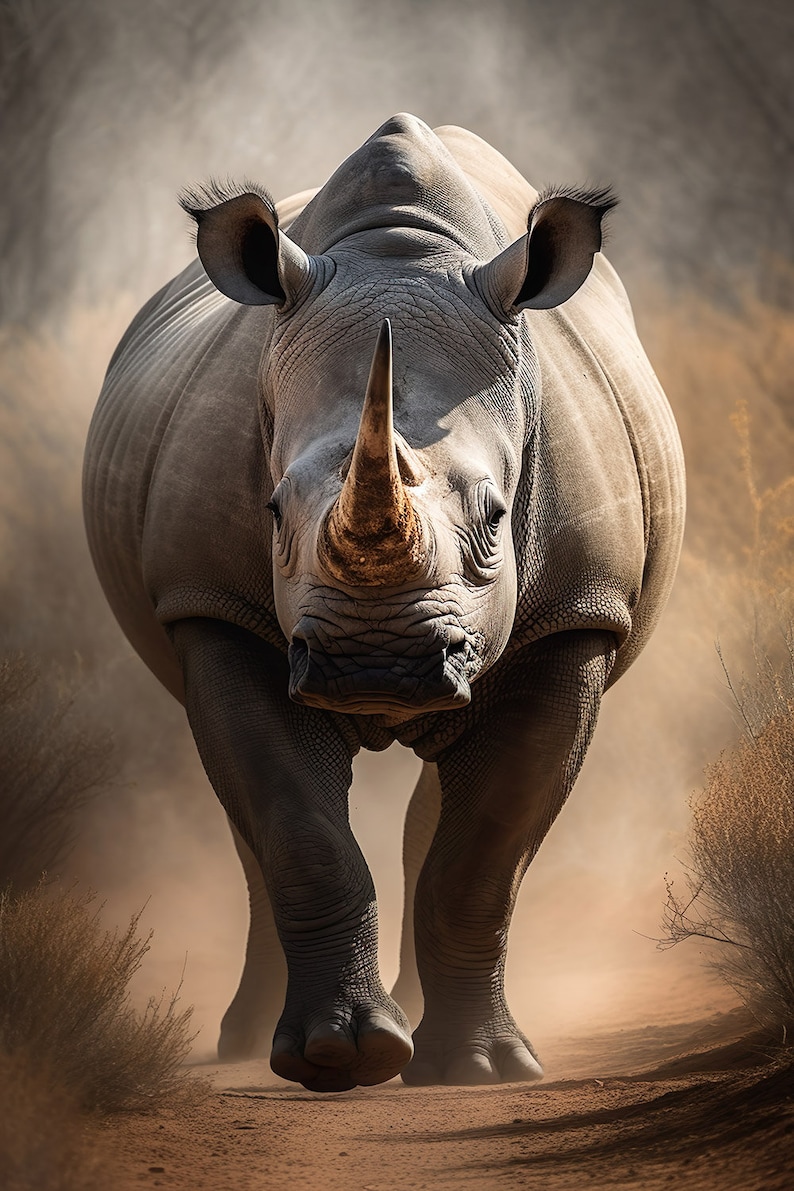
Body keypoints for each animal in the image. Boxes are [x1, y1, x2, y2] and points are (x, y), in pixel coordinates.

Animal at [83, 114, 684, 1092]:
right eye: (273, 511)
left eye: (497, 517)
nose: (376, 664)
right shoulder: (213, 606)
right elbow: (297, 826)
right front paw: (339, 1056)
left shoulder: (576, 615)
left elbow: (485, 850)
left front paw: (480, 1069)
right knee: (251, 822)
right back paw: (246, 1040)